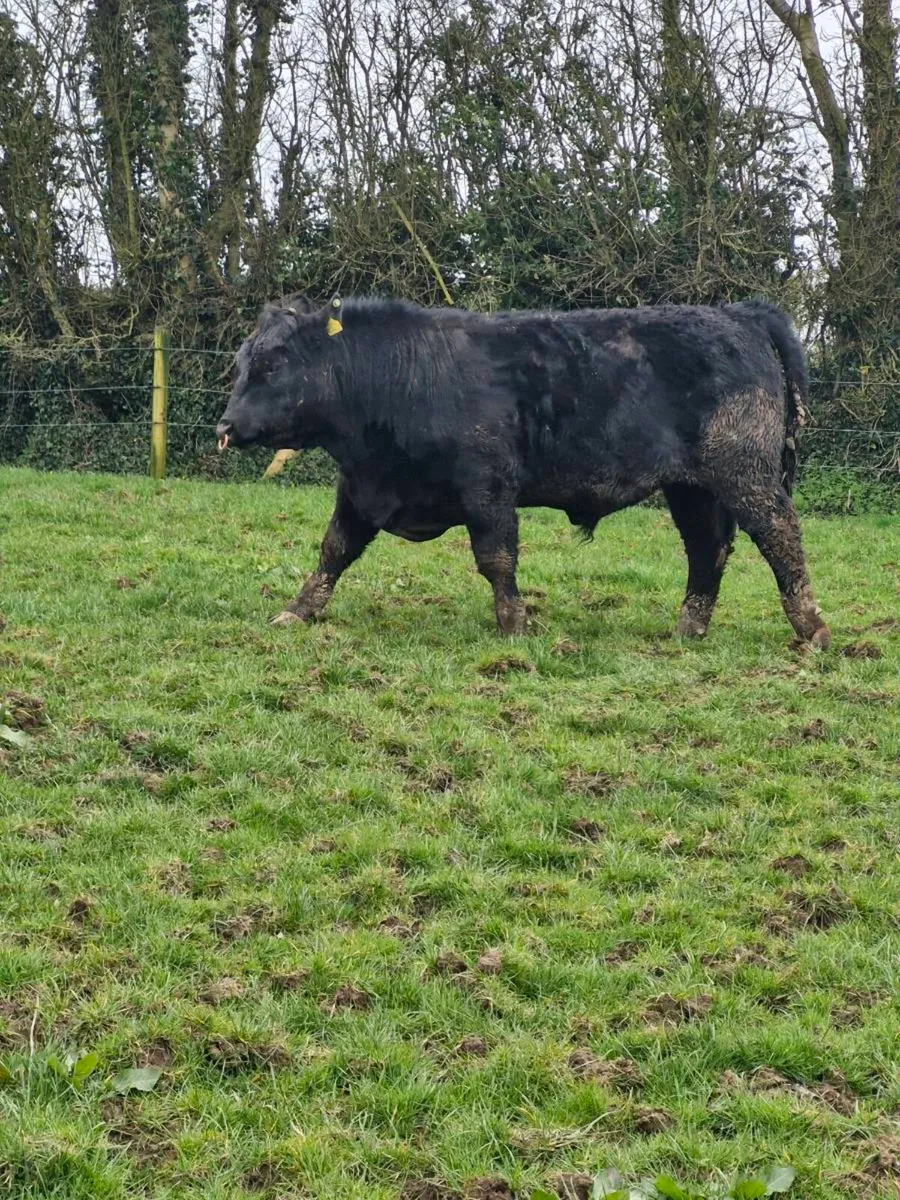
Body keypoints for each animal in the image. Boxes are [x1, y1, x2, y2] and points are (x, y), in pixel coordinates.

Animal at [216, 294, 830, 649]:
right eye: (242, 363)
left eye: (271, 365)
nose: (226, 424)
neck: (399, 374)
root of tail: (736, 312)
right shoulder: (362, 489)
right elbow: (333, 552)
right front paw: (296, 612)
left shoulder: (488, 488)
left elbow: (496, 559)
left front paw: (515, 626)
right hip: (692, 489)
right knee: (708, 550)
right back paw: (687, 630)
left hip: (744, 474)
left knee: (780, 535)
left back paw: (811, 628)